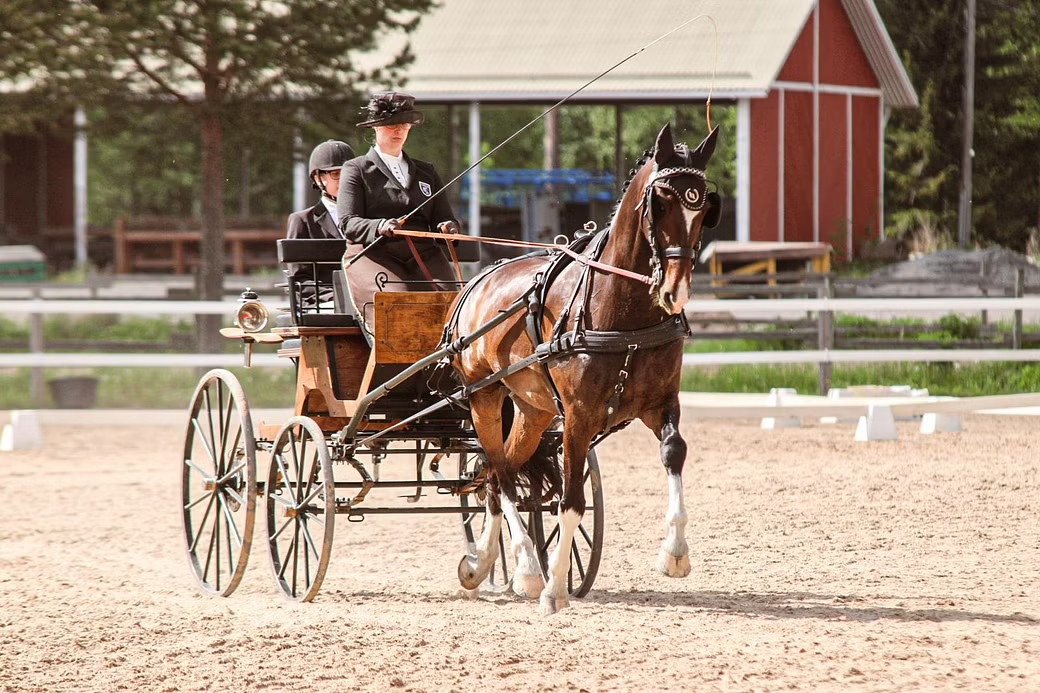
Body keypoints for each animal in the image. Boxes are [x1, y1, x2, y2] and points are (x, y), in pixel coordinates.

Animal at [447, 121, 723, 611]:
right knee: (500, 475)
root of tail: (479, 279)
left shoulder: (661, 404)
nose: (675, 292)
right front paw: (555, 588)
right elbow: (571, 499)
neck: (624, 316)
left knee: (499, 476)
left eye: (704, 206)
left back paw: (485, 565)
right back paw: (527, 568)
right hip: (484, 396)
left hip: (533, 410)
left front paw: (674, 554)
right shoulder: (577, 416)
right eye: (661, 201)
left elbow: (674, 453)